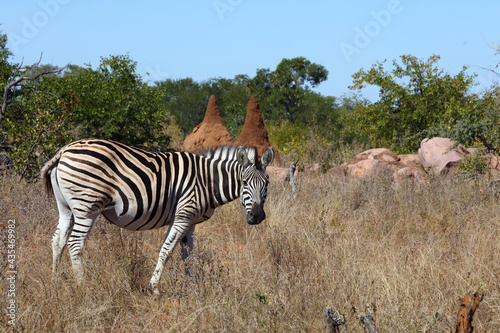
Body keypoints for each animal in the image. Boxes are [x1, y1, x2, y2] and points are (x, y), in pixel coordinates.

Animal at [41, 137, 276, 294]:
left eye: (267, 183)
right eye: (244, 183)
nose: (256, 217)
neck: (207, 181)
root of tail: (64, 150)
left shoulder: (191, 222)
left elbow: (188, 256)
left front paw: (193, 288)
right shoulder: (182, 215)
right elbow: (166, 251)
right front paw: (154, 288)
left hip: (66, 208)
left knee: (57, 241)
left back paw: (55, 281)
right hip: (87, 206)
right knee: (75, 243)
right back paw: (83, 286)